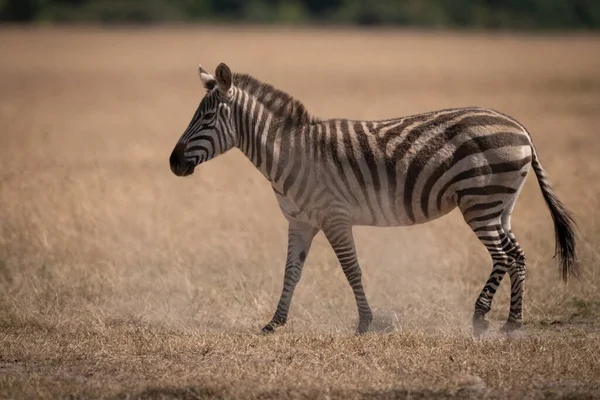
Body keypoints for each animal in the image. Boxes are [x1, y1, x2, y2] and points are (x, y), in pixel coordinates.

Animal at [168, 62, 576, 336]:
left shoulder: (334, 216)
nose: (173, 163)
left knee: (504, 256)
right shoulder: (300, 221)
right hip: (499, 205)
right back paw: (509, 322)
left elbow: (352, 269)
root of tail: (520, 128)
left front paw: (364, 322)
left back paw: (486, 319)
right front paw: (275, 322)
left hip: (480, 201)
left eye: (206, 119)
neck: (290, 153)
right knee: (516, 256)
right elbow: (291, 272)